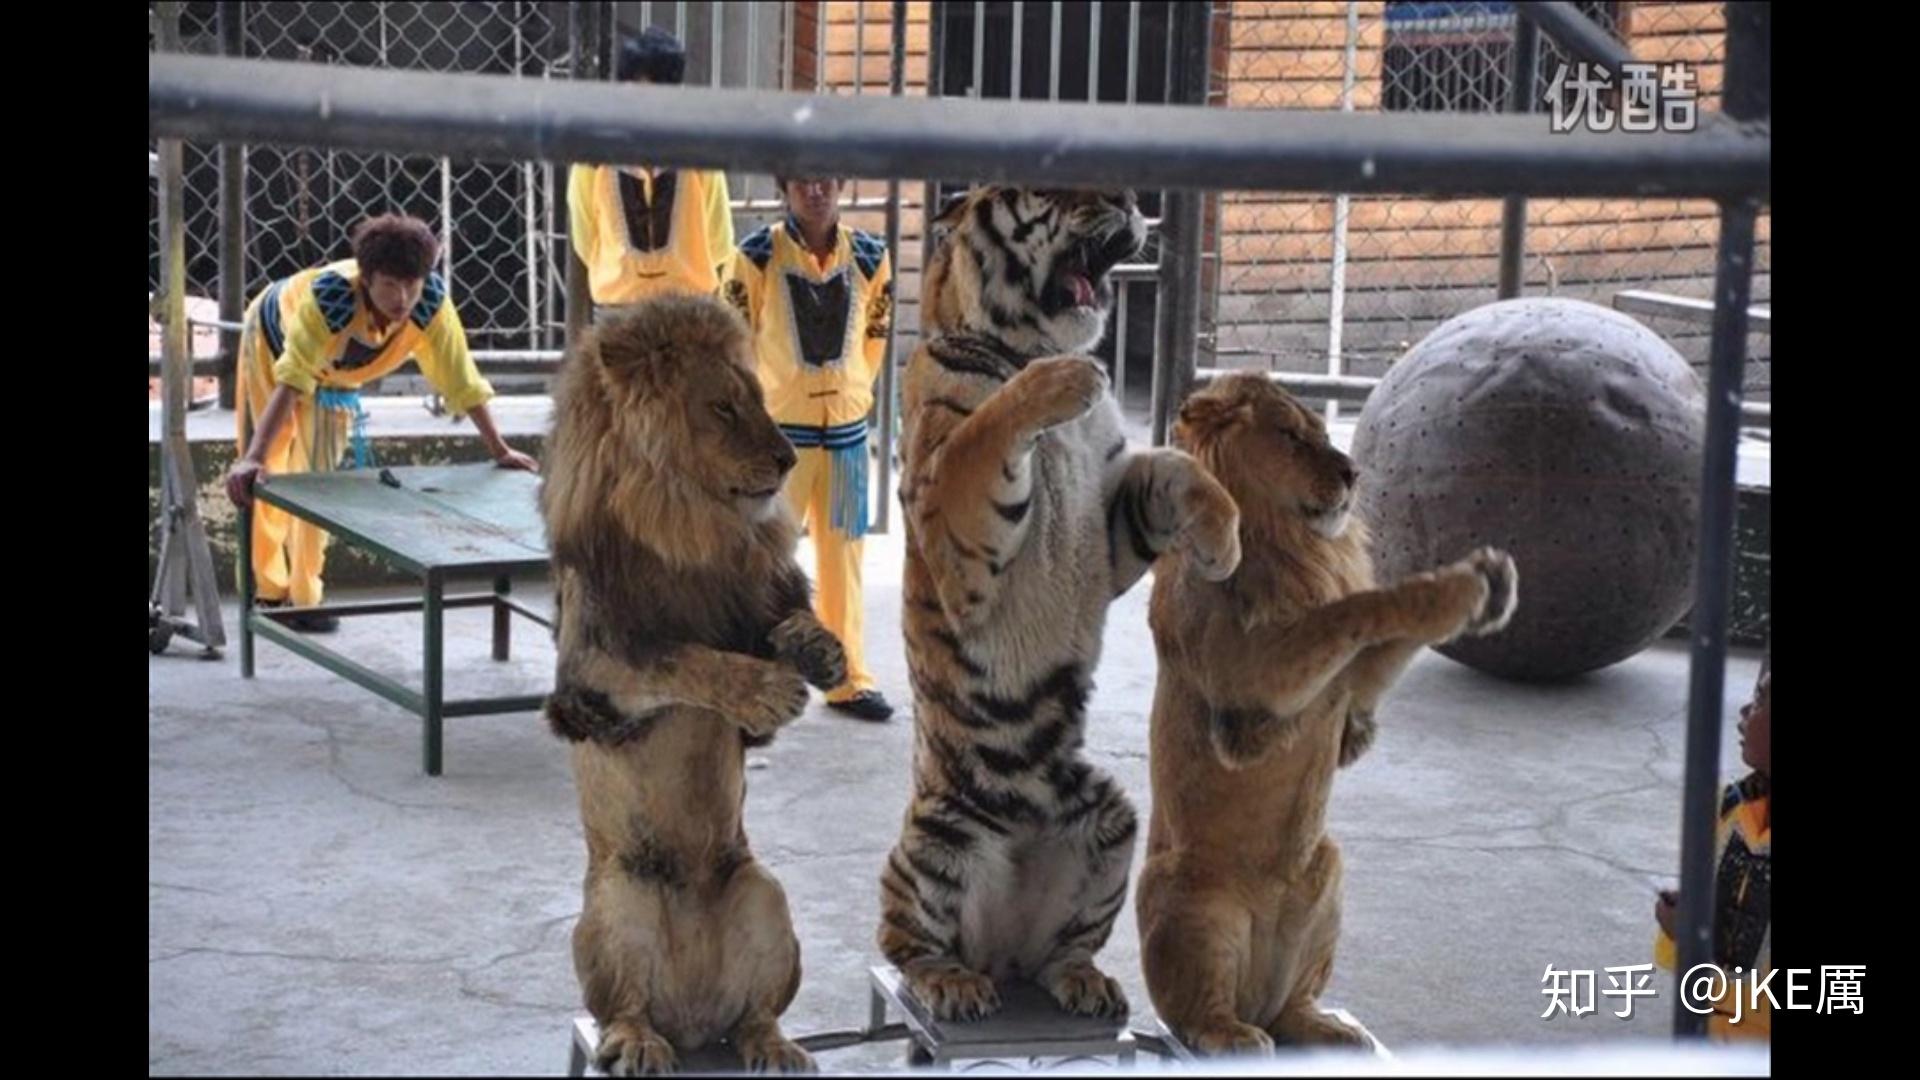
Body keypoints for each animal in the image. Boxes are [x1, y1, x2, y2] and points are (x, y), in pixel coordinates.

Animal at [875, 187, 1243, 1023]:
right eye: (1057, 195)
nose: (1135, 202)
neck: (1021, 343)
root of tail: (999, 948)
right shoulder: (959, 526)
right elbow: (987, 429)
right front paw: (1066, 379)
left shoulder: (1111, 525)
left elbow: (1174, 468)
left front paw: (1223, 541)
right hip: (935, 839)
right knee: (903, 942)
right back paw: (950, 984)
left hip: (1112, 817)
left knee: (1061, 948)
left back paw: (1084, 980)